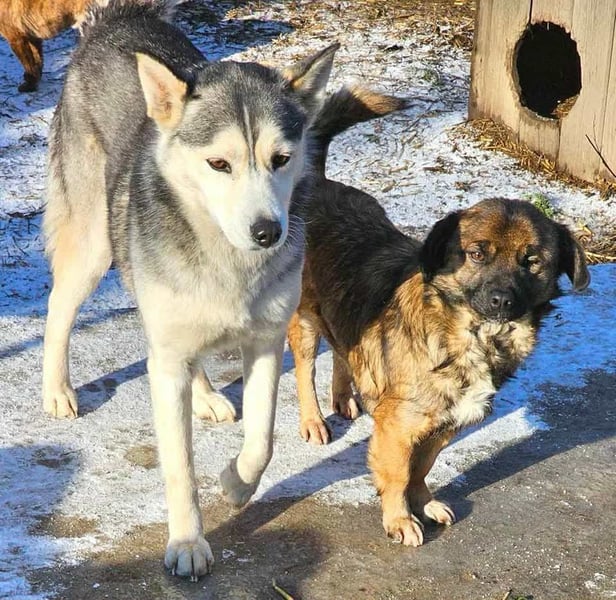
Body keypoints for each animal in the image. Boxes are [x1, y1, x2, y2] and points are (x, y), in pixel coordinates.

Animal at [42, 0, 341, 581]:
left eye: (281, 158)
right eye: (219, 164)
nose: (268, 231)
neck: (229, 264)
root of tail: (117, 21)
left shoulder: (266, 342)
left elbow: (263, 440)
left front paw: (236, 484)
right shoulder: (168, 361)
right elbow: (179, 467)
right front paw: (186, 542)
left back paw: (204, 396)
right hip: (95, 246)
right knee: (58, 306)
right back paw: (57, 388)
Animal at [288, 93, 590, 547]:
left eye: (532, 261)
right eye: (477, 253)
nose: (501, 300)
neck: (470, 337)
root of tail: (319, 184)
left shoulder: (448, 423)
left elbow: (422, 467)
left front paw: (423, 502)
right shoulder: (399, 428)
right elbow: (398, 473)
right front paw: (399, 518)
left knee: (343, 349)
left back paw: (344, 397)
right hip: (304, 317)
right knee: (305, 367)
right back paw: (312, 420)